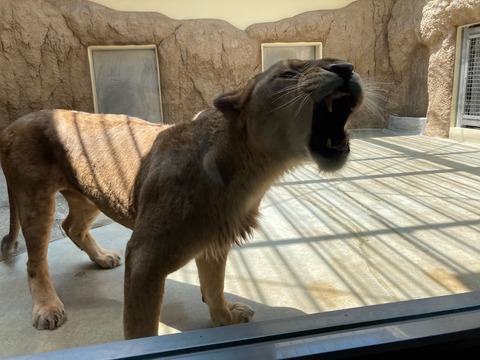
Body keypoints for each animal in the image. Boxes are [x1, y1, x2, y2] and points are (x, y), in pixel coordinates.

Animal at [0, 57, 360, 338]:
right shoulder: (145, 258)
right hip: (34, 200)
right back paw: (48, 308)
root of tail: (13, 125)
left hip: (89, 195)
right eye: (287, 73)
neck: (251, 170)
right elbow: (140, 326)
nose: (346, 67)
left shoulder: (215, 239)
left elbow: (214, 286)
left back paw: (102, 258)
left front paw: (225, 318)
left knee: (71, 226)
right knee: (35, 261)